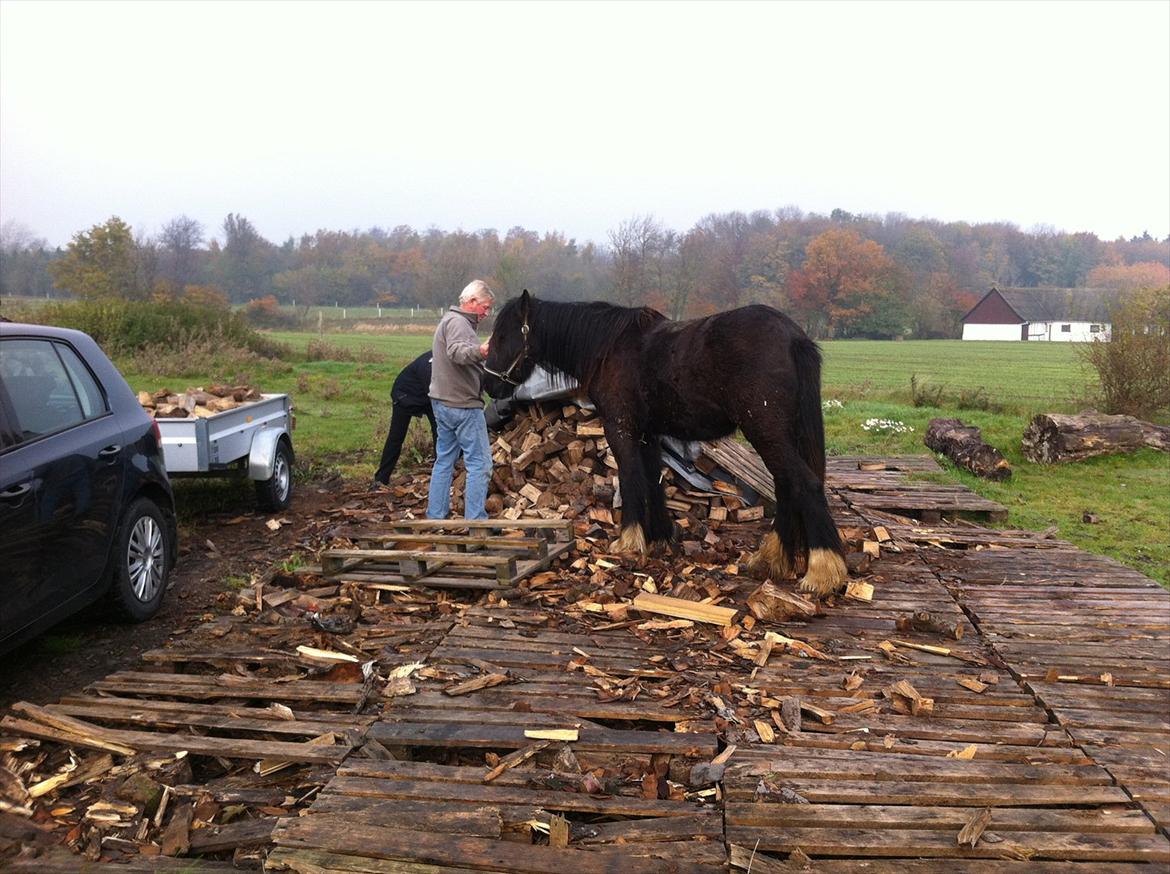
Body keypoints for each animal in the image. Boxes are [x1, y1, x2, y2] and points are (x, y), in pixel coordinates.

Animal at [484, 290, 851, 599]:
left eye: (503, 335)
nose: (488, 382)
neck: (609, 348)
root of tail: (794, 336)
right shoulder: (648, 433)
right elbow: (653, 480)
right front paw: (660, 535)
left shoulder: (620, 428)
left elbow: (632, 478)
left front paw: (629, 540)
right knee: (787, 485)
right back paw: (772, 559)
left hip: (765, 431)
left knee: (803, 483)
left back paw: (822, 571)